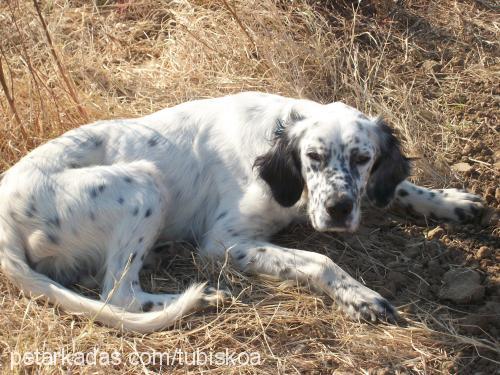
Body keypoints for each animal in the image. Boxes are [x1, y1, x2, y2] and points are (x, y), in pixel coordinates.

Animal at [0, 92, 484, 334]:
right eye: (313, 156)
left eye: (363, 158)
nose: (339, 210)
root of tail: (5, 211)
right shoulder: (224, 241)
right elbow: (319, 260)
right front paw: (359, 295)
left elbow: (398, 185)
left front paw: (450, 201)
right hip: (144, 182)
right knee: (117, 293)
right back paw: (199, 298)